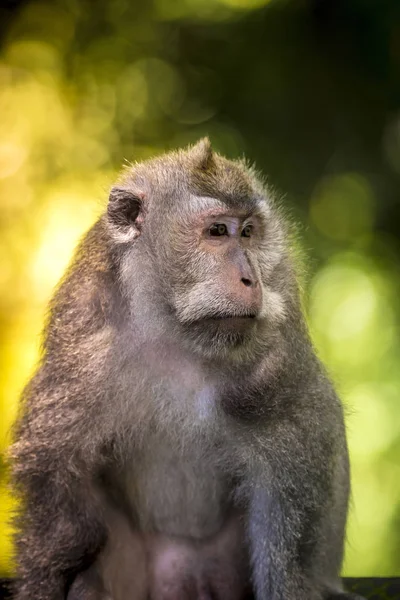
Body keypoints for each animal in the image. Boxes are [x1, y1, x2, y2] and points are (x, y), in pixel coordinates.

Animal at [9, 138, 366, 600]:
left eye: (248, 232)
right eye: (216, 232)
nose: (251, 278)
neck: (175, 332)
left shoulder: (280, 344)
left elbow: (298, 445)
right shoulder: (83, 349)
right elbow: (57, 480)